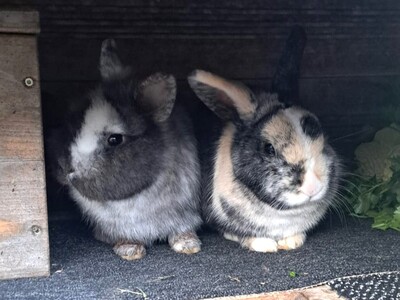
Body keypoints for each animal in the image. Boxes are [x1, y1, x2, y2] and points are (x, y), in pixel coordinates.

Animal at [48, 39, 202, 260]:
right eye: (73, 123)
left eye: (115, 139)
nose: (66, 169)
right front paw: (129, 250)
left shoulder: (185, 213)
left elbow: (182, 229)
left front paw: (188, 245)